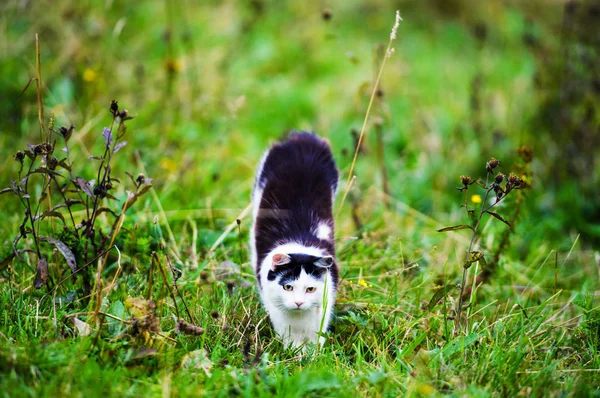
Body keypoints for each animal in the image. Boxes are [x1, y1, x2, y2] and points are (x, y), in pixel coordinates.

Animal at [250, 131, 338, 348]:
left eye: (310, 288)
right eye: (288, 286)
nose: (298, 302)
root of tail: (302, 137)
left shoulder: (324, 305)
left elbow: (316, 338)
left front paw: (313, 355)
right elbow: (289, 339)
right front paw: (293, 353)